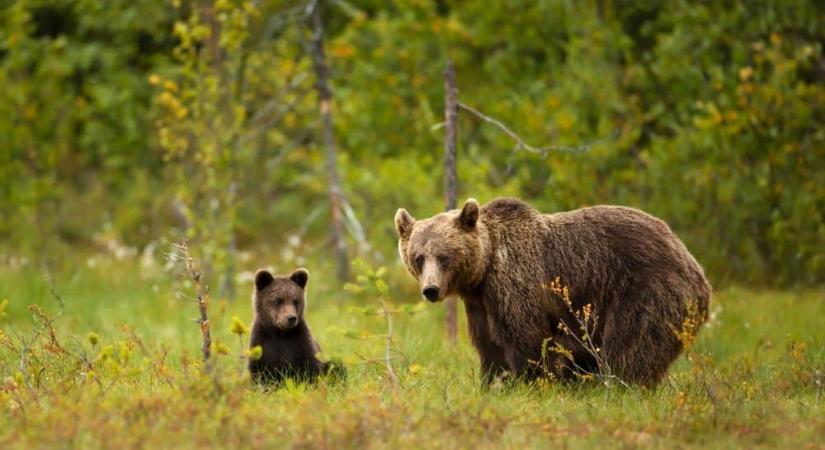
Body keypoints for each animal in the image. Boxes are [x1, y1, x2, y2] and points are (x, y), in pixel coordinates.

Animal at [392, 198, 708, 386]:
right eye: (418, 257)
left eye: (444, 256)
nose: (431, 290)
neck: (484, 269)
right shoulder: (480, 303)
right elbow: (490, 347)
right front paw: (494, 383)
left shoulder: (515, 283)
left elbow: (526, 339)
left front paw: (528, 383)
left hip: (647, 288)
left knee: (632, 346)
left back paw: (622, 384)